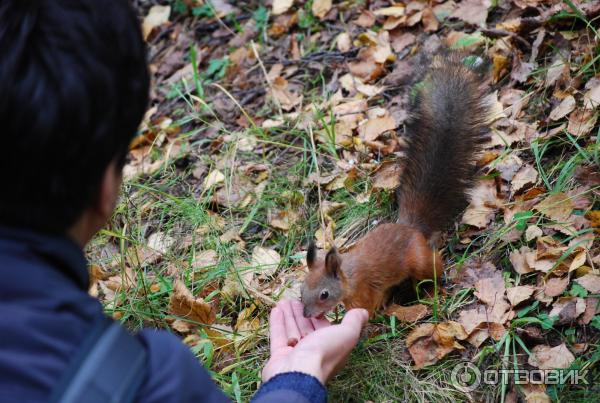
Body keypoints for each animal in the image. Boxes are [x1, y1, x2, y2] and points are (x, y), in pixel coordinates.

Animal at [302, 53, 490, 318]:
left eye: (324, 294)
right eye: (301, 290)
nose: (306, 314)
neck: (349, 275)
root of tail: (411, 228)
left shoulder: (364, 290)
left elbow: (366, 308)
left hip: (420, 261)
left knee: (434, 267)